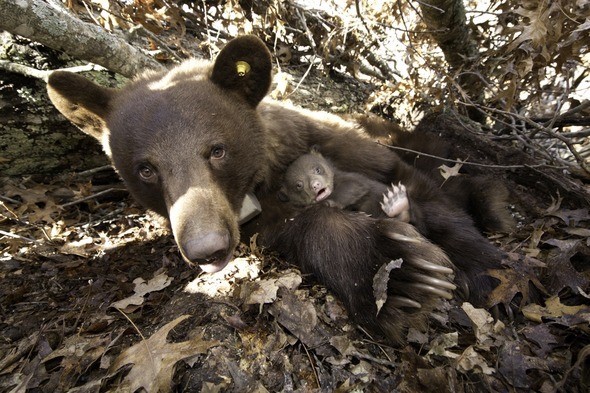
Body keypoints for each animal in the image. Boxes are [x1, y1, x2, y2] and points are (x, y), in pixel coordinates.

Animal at [47, 35, 508, 342]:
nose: (206, 248)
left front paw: (487, 270)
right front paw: (399, 278)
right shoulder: (261, 217)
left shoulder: (335, 141)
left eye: (217, 149)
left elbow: (416, 185)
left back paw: (495, 202)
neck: (264, 173)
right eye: (146, 170)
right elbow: (300, 227)